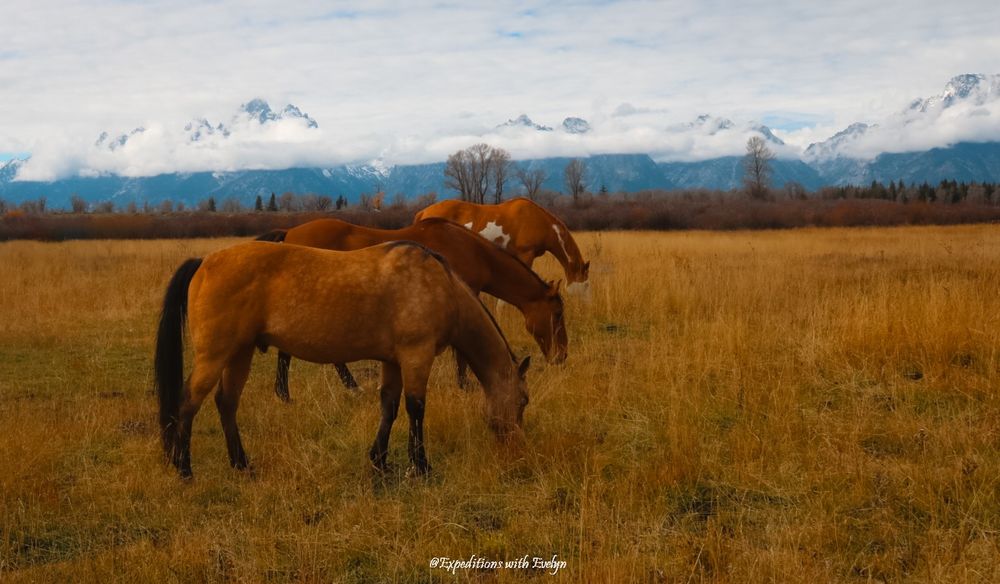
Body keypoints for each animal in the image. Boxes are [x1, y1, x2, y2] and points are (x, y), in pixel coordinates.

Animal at [154, 241, 530, 479]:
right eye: (523, 401)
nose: (517, 447)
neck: (441, 286)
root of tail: (204, 262)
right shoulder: (416, 355)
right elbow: (416, 409)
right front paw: (420, 466)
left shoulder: (393, 360)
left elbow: (389, 406)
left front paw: (380, 461)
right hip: (215, 355)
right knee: (188, 404)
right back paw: (185, 469)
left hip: (240, 353)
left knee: (226, 403)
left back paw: (241, 464)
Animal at [256, 216, 566, 401]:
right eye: (558, 314)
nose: (561, 356)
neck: (474, 251)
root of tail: (290, 232)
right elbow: (462, 352)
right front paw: (464, 384)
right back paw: (294, 393)